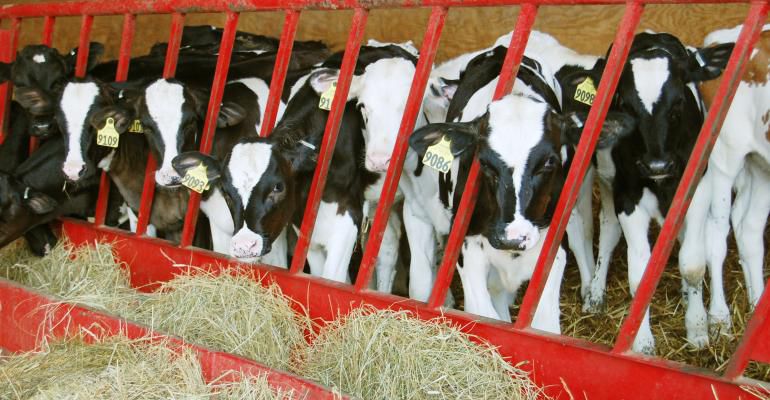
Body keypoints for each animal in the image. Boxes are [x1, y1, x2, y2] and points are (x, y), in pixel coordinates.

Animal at [677, 24, 770, 349]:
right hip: (723, 157)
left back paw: (755, 305)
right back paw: (719, 318)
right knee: (716, 236)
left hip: (762, 164)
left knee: (749, 230)